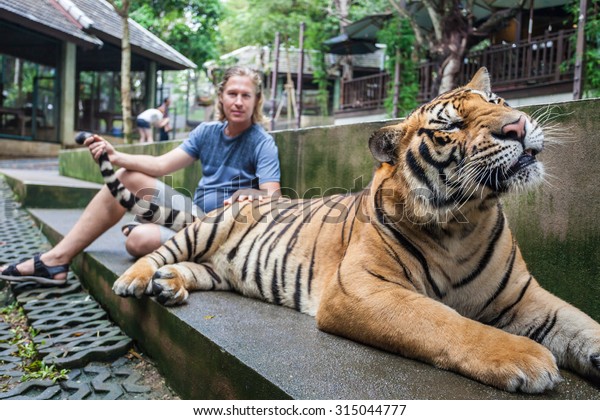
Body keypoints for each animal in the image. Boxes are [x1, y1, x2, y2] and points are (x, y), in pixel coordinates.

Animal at [89, 67, 600, 392]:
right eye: (451, 125)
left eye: (496, 101)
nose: (518, 125)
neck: (466, 219)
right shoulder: (362, 288)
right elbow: (443, 321)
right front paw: (525, 357)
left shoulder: (523, 295)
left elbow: (580, 323)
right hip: (209, 227)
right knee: (158, 252)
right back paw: (138, 279)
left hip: (223, 269)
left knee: (197, 269)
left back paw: (170, 286)